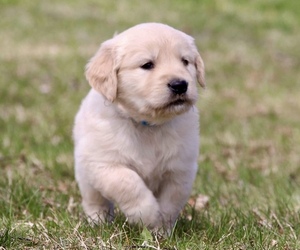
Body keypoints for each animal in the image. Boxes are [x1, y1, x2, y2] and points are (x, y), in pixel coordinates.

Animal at [73, 22, 205, 231]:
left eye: (185, 61)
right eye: (147, 65)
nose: (180, 84)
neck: (147, 125)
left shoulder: (180, 170)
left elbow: (171, 202)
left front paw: (161, 229)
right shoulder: (104, 164)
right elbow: (129, 183)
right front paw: (146, 215)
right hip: (85, 175)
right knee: (95, 201)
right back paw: (98, 223)